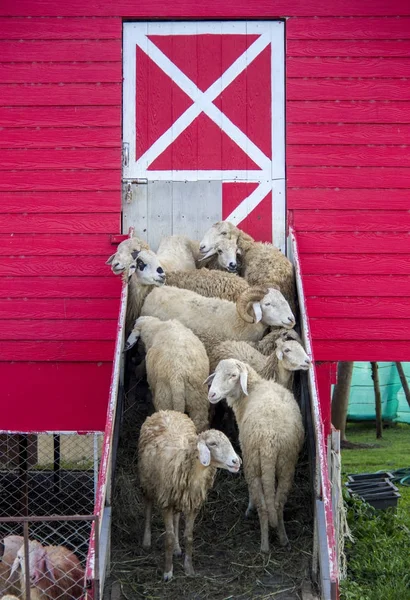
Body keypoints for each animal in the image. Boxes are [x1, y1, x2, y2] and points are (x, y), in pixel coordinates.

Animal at [139, 410, 240, 580]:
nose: (236, 462)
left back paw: (177, 549)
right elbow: (168, 537)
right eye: (212, 444)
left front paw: (189, 569)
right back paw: (146, 541)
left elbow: (189, 536)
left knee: (177, 517)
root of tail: (167, 411)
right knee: (147, 507)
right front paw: (168, 572)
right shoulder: (166, 502)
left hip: (179, 498)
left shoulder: (193, 504)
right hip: (147, 482)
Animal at [205, 360, 304, 552]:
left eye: (233, 375)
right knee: (277, 504)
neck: (253, 388)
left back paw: (264, 545)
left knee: (263, 506)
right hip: (286, 463)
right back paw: (283, 539)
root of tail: (269, 441)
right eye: (216, 372)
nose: (211, 394)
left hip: (252, 461)